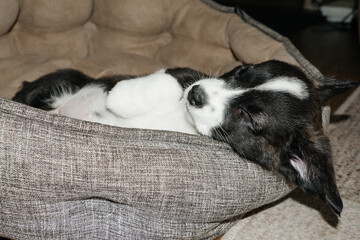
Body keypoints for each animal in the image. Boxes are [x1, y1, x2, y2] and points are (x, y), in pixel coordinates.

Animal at [12, 59, 358, 216]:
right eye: (241, 70)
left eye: (251, 118)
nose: (196, 94)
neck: (185, 119)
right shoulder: (184, 74)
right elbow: (168, 80)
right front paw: (121, 96)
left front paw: (119, 99)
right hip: (65, 77)